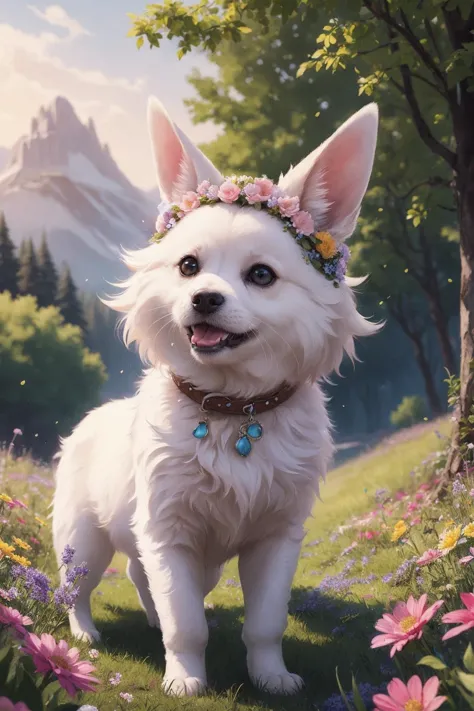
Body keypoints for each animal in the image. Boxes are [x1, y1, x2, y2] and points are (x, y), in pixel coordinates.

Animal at [51, 97, 378, 700]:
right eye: (188, 267)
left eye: (262, 275)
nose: (204, 298)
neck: (232, 410)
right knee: (79, 589)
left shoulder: (276, 538)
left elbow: (265, 623)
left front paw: (272, 677)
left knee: (137, 573)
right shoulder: (169, 533)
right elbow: (186, 622)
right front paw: (184, 678)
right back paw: (85, 633)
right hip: (83, 539)